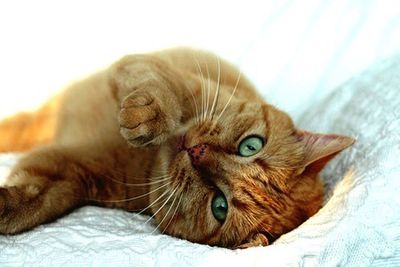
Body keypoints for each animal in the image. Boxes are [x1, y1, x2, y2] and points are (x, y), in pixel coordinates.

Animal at [0, 47, 354, 249]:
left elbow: (37, 200)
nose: (197, 153)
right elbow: (163, 86)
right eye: (251, 145)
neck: (143, 160)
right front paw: (150, 115)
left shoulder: (70, 173)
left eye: (220, 206)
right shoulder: (161, 71)